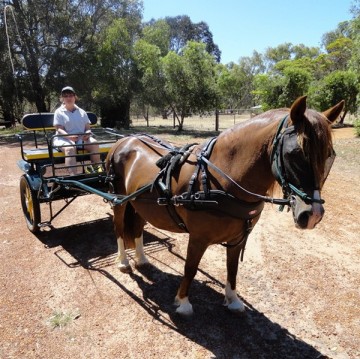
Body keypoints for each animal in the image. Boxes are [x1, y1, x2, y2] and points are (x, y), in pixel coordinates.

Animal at [105, 96, 344, 318]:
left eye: (329, 155)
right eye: (294, 154)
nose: (313, 215)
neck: (218, 176)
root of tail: (123, 142)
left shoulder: (238, 237)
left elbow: (232, 268)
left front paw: (233, 300)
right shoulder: (198, 237)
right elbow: (190, 268)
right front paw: (183, 302)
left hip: (139, 204)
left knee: (137, 227)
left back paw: (142, 259)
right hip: (120, 200)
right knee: (118, 228)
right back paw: (123, 262)